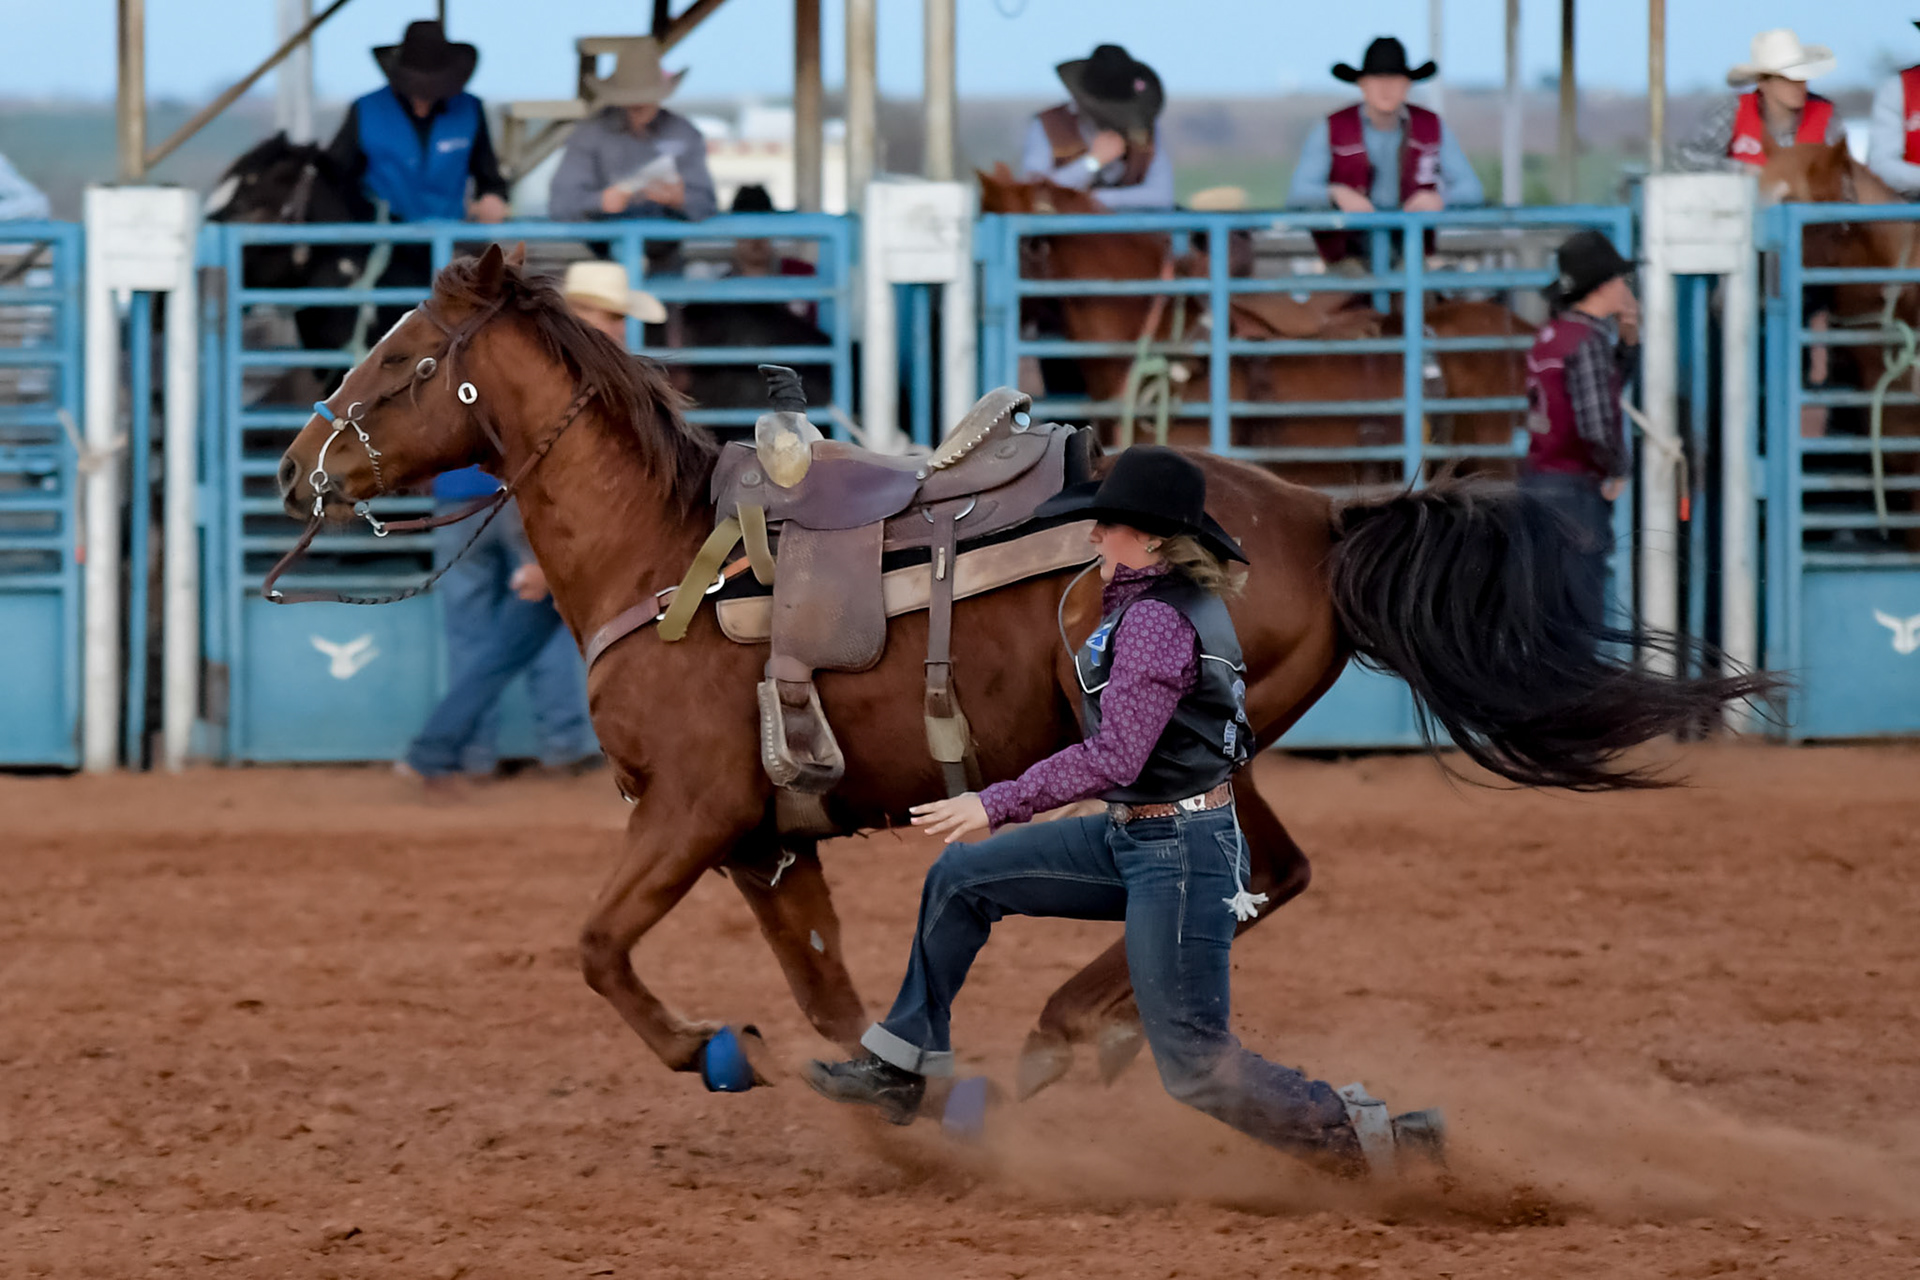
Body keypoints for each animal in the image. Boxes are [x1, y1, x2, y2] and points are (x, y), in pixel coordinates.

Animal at [270, 243, 1771, 1094]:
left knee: (1233, 876)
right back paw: (1079, 1034)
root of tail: (1322, 516)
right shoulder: (763, 839)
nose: (295, 466)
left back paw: (1067, 1030)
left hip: (1186, 744)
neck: (665, 556)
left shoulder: (691, 812)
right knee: (1271, 875)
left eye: (405, 356)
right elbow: (825, 987)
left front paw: (710, 1050)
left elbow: (595, 945)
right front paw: (871, 1084)